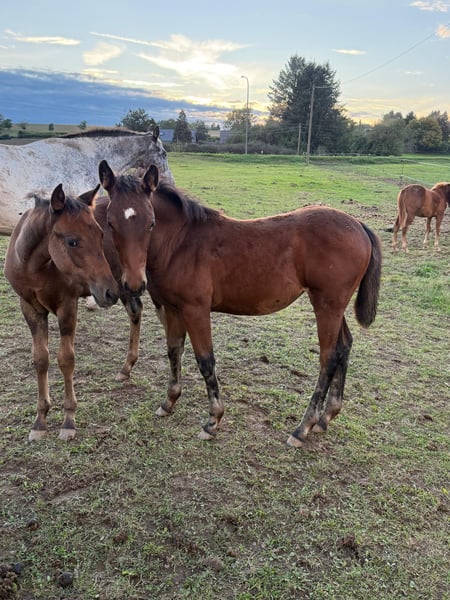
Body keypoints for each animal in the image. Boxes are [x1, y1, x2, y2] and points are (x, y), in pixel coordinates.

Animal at [3, 184, 120, 441]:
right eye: (72, 242)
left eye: (100, 235)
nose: (110, 292)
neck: (34, 268)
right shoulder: (30, 308)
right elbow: (40, 359)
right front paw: (40, 421)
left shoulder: (67, 305)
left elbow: (66, 359)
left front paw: (68, 420)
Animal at [99, 160, 382, 448]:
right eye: (110, 224)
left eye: (151, 223)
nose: (135, 284)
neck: (180, 243)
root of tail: (359, 225)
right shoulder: (173, 308)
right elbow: (174, 350)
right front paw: (169, 401)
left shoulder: (195, 309)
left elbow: (205, 360)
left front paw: (213, 420)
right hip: (333, 305)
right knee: (344, 346)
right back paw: (326, 417)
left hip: (327, 304)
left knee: (328, 357)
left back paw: (303, 428)